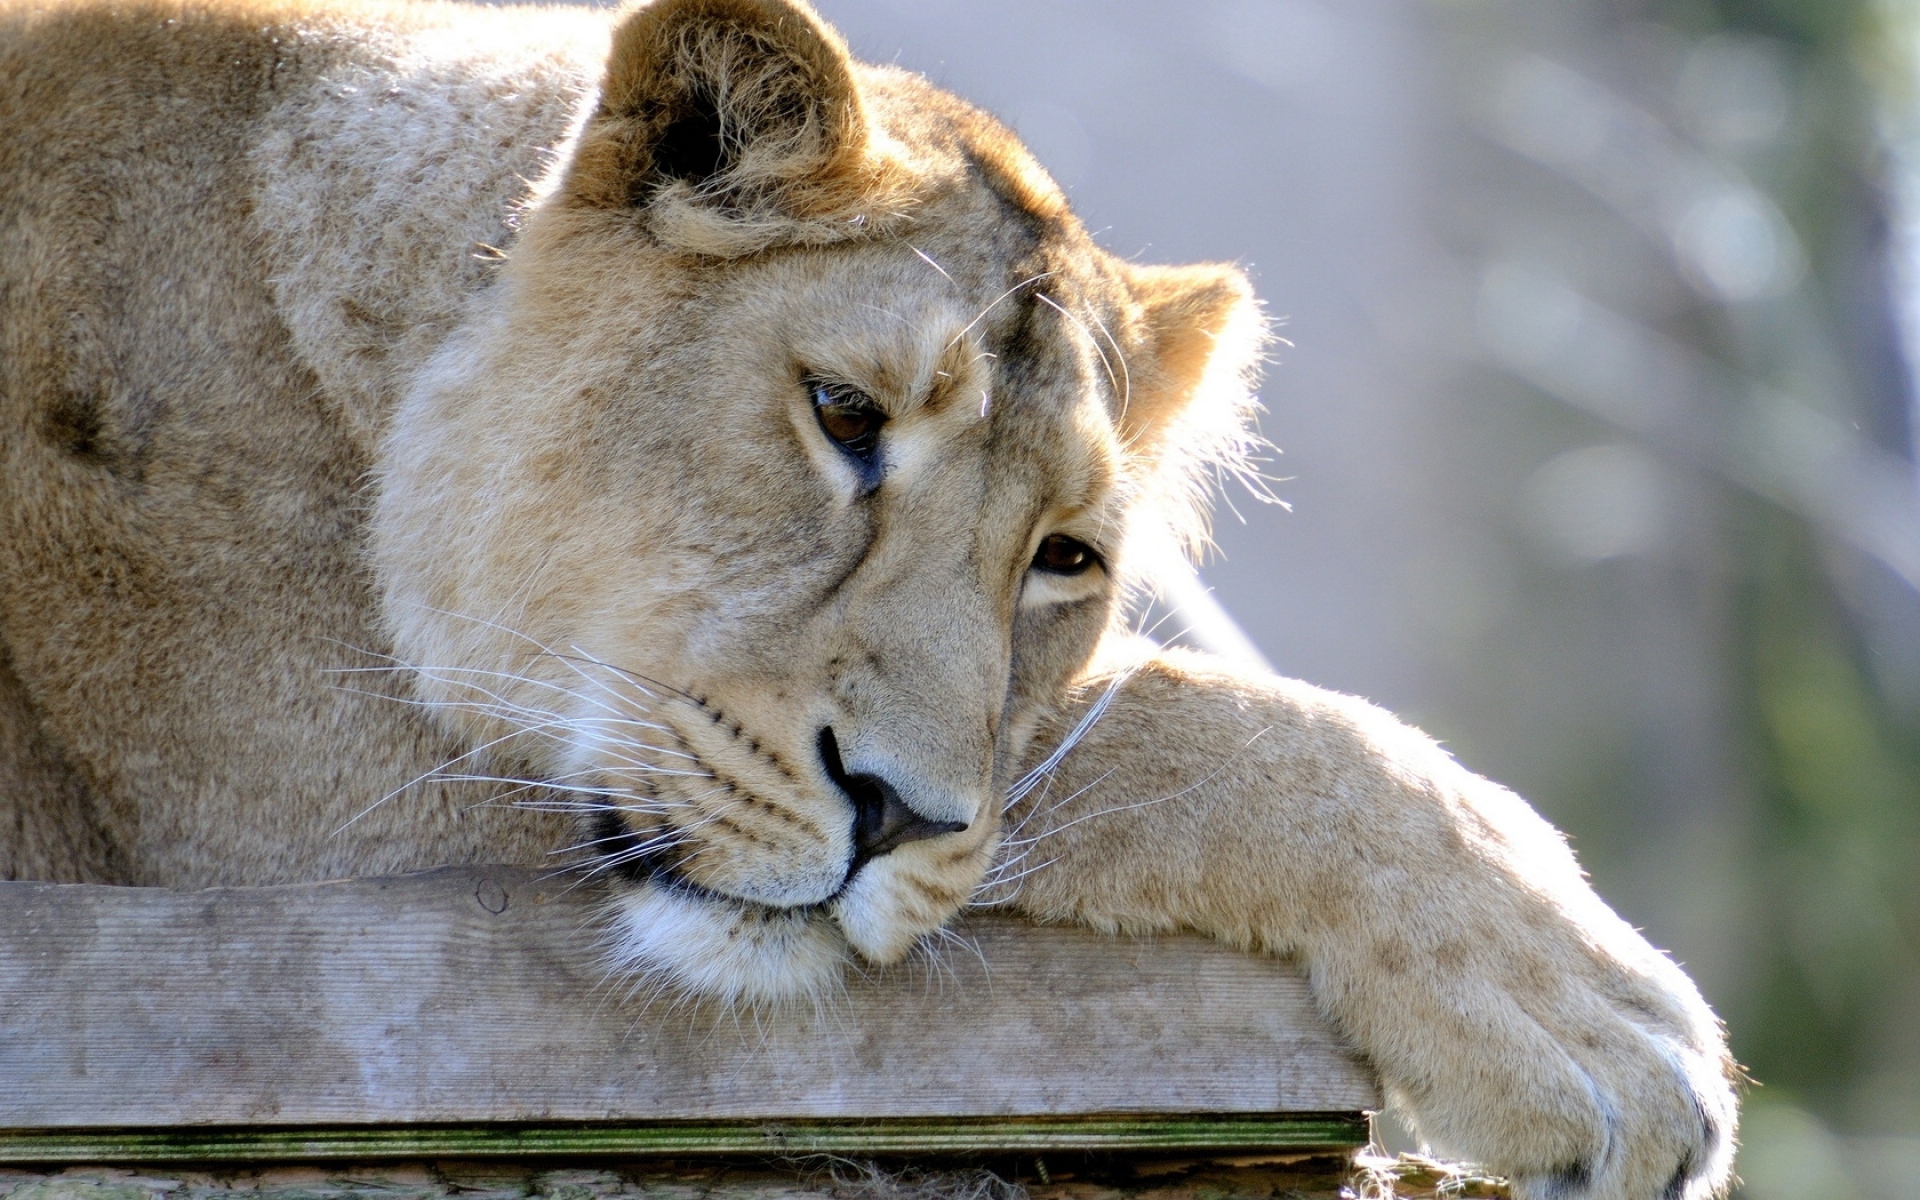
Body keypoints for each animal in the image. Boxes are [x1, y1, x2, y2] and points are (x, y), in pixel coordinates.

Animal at [0, 0, 1735, 1195]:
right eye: (844, 416)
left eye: (1067, 558)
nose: (893, 816)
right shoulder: (306, 836)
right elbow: (1157, 728)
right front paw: (1590, 1015)